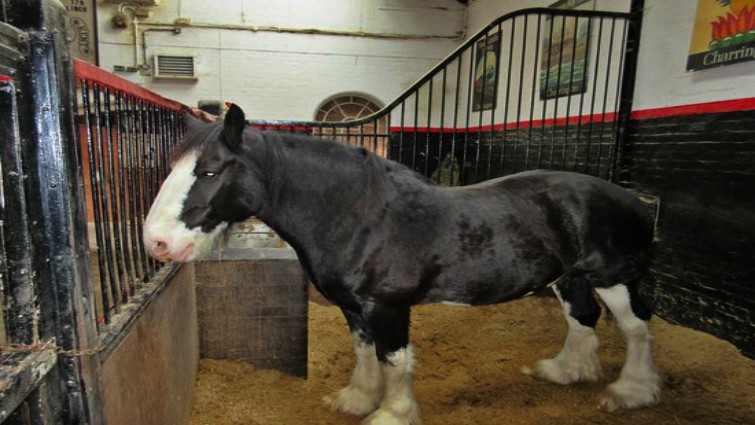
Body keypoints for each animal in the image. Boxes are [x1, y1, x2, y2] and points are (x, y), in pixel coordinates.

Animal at [143, 104, 660, 424]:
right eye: (170, 168)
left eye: (209, 171)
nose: (157, 243)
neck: (358, 213)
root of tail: (631, 196)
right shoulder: (354, 307)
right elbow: (364, 353)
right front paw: (356, 399)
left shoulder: (387, 306)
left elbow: (394, 360)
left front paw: (392, 413)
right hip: (569, 278)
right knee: (583, 319)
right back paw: (563, 372)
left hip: (613, 277)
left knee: (636, 328)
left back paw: (631, 392)